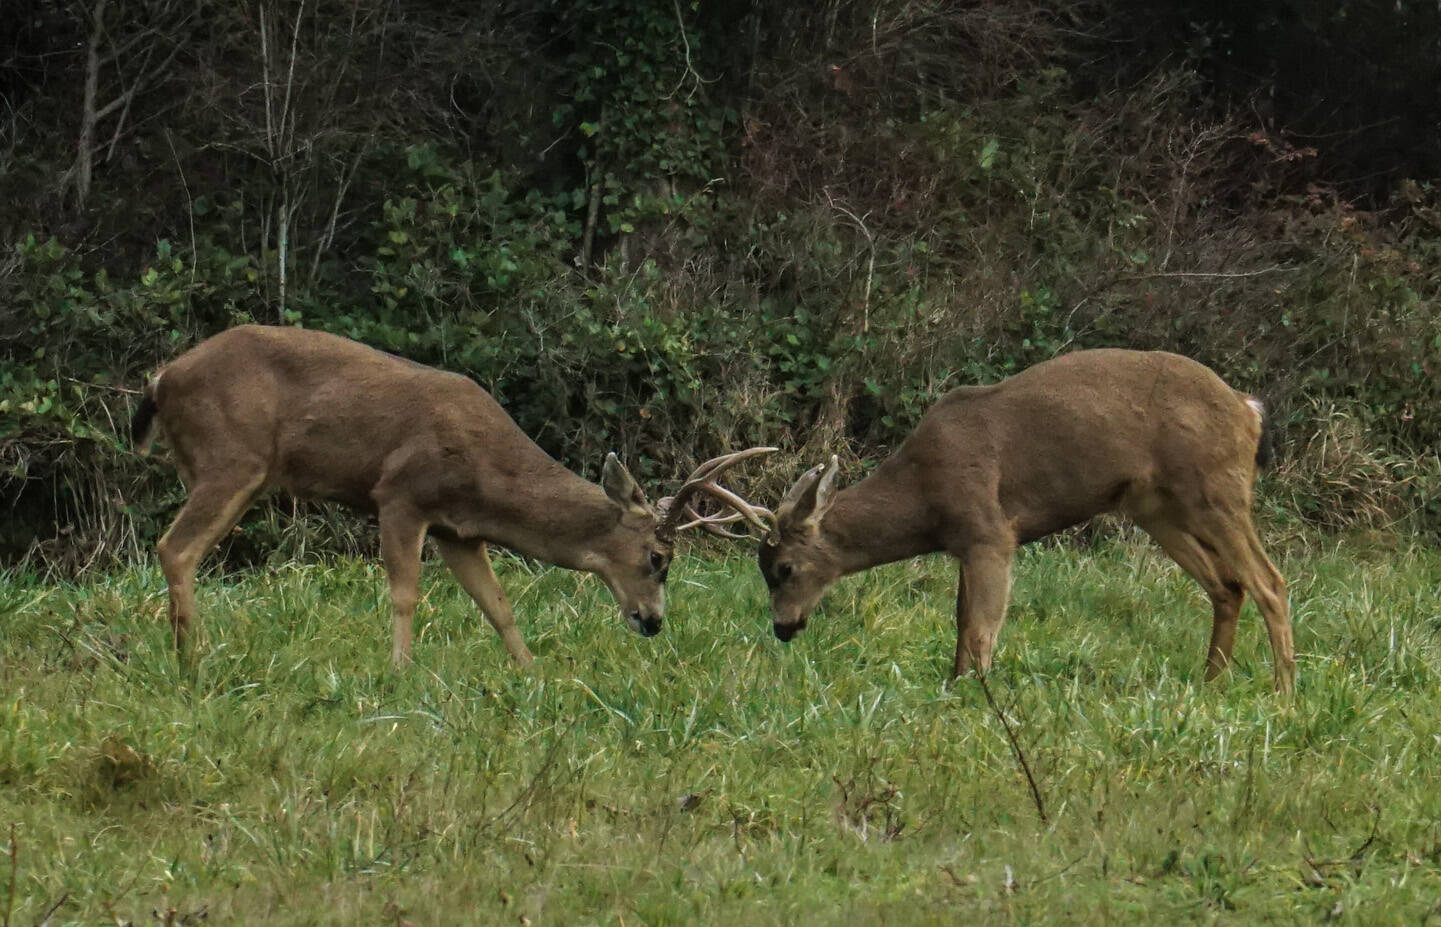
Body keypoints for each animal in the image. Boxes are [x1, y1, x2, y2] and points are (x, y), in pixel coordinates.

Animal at [129, 325, 772, 666]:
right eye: (659, 558)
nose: (653, 622)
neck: (487, 474)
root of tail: (160, 380)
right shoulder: (400, 496)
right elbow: (405, 593)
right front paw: (399, 668)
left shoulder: (457, 529)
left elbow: (497, 604)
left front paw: (530, 670)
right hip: (230, 459)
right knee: (175, 547)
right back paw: (193, 656)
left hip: (220, 470)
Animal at [755, 351, 1296, 692]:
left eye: (783, 568)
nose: (782, 628)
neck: (923, 492)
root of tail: (1248, 408)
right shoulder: (965, 544)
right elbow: (961, 622)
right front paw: (955, 685)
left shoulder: (990, 531)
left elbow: (981, 628)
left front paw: (977, 695)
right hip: (1156, 507)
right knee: (1228, 585)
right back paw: (1211, 682)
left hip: (1216, 489)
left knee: (1270, 581)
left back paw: (1283, 694)